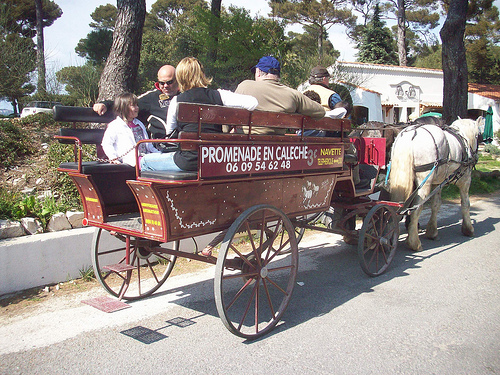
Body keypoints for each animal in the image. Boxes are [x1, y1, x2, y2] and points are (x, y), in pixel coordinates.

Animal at [388, 119, 482, 251]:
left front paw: (432, 231)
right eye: (478, 135)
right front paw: (468, 229)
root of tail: (411, 134)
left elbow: (436, 205)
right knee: (416, 209)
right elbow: (465, 204)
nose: (476, 156)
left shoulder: (438, 183)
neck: (464, 140)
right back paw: (414, 242)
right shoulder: (465, 180)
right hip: (424, 183)